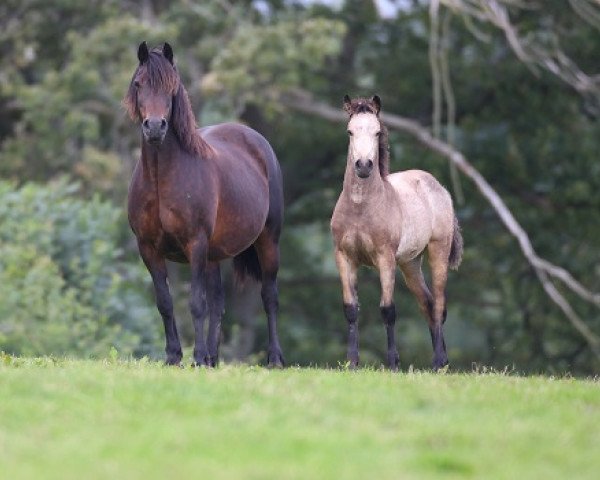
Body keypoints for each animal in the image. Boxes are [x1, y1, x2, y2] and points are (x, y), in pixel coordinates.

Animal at [123, 43, 284, 368]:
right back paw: (213, 359)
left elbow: (197, 303)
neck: (161, 178)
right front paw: (174, 357)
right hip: (214, 255)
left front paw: (194, 356)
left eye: (172, 87)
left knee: (269, 296)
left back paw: (273, 358)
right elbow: (165, 302)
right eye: (139, 84)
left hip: (267, 242)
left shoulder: (194, 244)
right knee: (219, 303)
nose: (155, 127)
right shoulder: (148, 249)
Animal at [330, 94, 462, 372]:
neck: (361, 208)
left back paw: (438, 363)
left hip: (438, 251)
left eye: (377, 132)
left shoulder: (385, 258)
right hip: (410, 263)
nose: (364, 166)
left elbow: (388, 310)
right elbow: (351, 308)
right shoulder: (344, 257)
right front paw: (352, 362)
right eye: (350, 131)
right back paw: (442, 360)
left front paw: (393, 363)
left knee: (439, 305)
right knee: (427, 303)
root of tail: (440, 188)